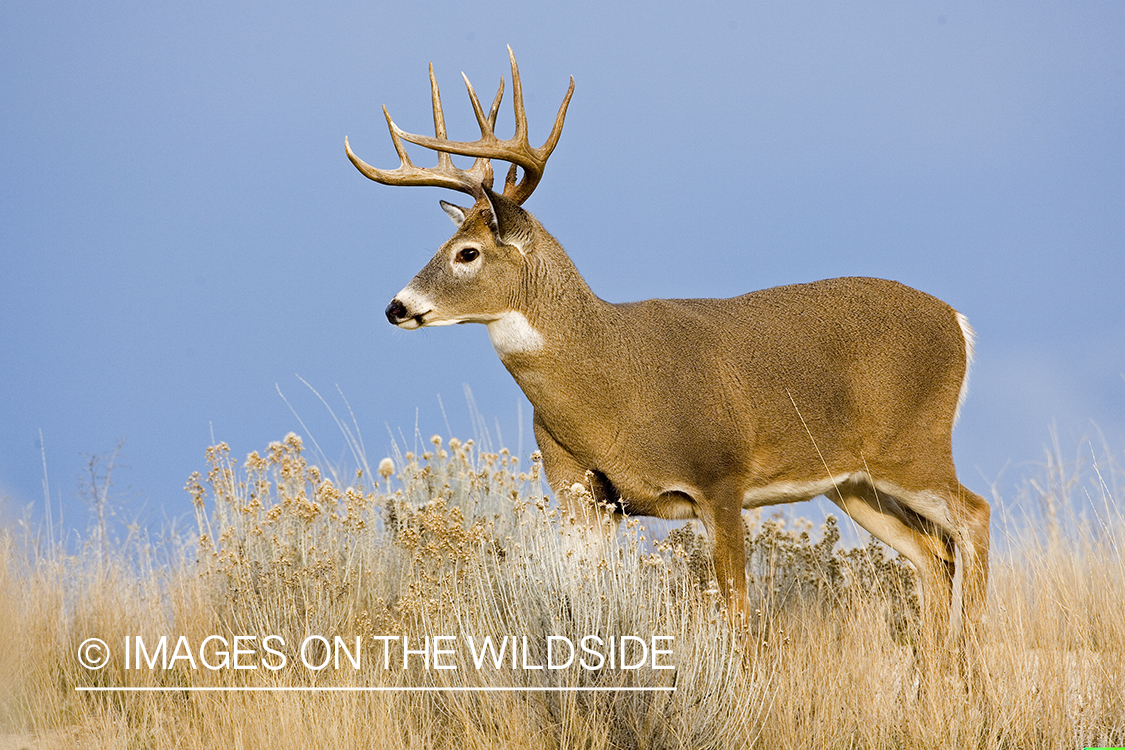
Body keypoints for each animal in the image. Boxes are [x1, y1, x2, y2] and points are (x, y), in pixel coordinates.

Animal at [346, 46, 990, 647]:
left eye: (468, 253)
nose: (396, 306)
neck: (608, 381)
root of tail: (957, 320)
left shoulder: (720, 476)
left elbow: (736, 614)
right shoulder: (582, 495)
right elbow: (580, 600)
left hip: (913, 446)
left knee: (973, 519)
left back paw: (973, 659)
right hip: (853, 481)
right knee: (933, 553)